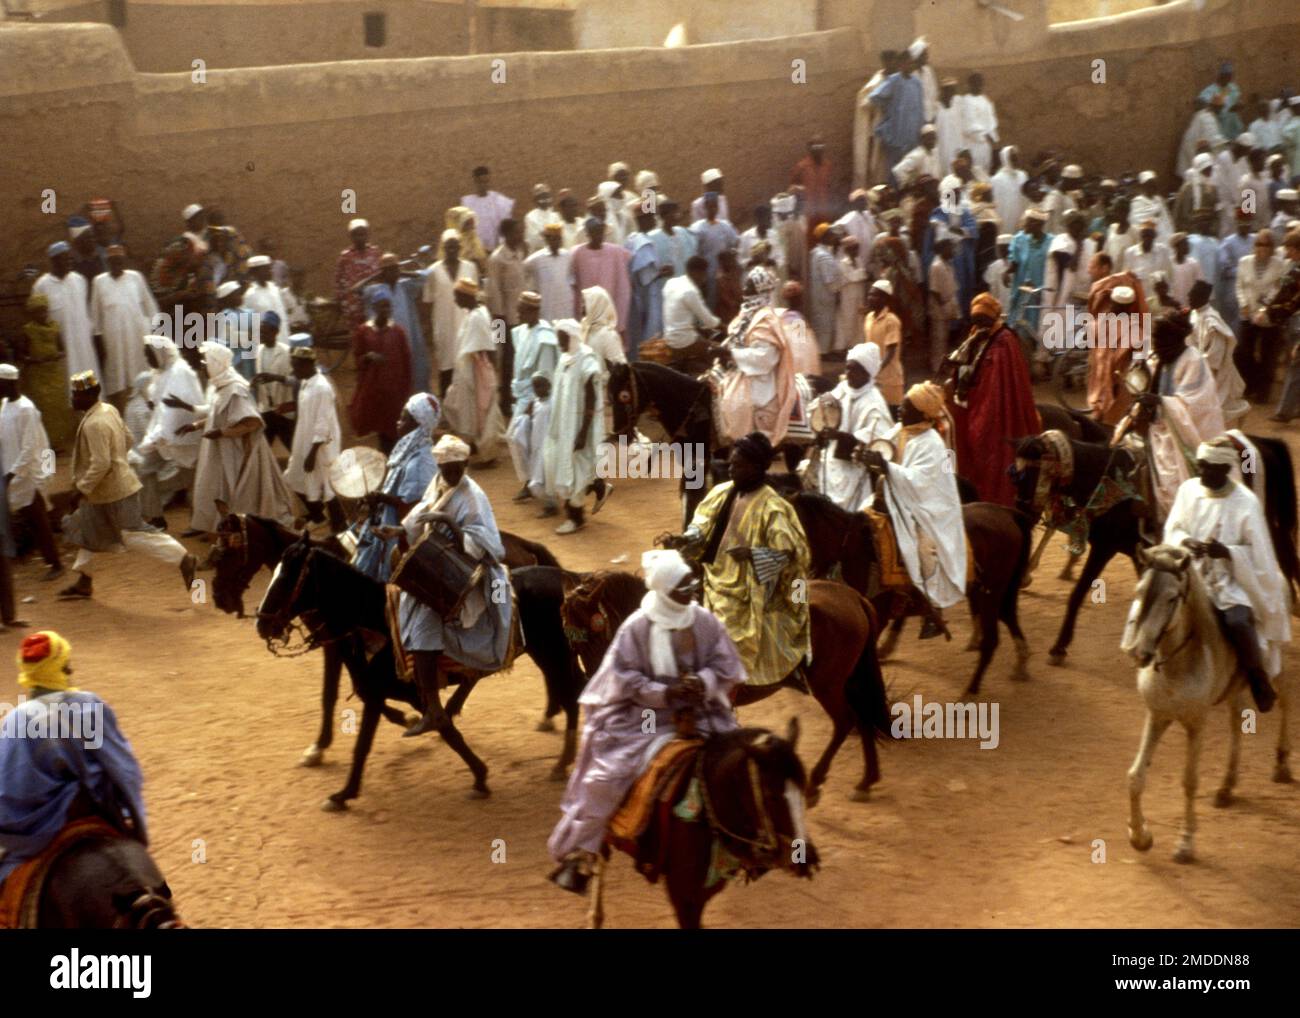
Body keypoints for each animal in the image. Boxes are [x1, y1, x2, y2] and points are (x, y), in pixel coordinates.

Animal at [564, 572, 899, 806]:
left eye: (595, 632)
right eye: (571, 640)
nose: (595, 678)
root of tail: (852, 597)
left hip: (828, 685)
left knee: (846, 721)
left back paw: (816, 783)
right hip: (848, 680)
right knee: (863, 719)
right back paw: (866, 781)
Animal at [785, 494, 1029, 702]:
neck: (855, 550)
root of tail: (1006, 513)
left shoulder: (877, 613)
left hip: (990, 592)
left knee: (992, 639)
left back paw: (971, 690)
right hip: (992, 592)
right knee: (1008, 617)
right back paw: (1020, 662)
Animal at [1013, 429, 1300, 670]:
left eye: (1031, 476)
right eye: (1015, 475)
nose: (1021, 514)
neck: (1108, 480)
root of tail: (1262, 442)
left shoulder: (1105, 548)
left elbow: (1078, 593)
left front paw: (1058, 647)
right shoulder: (1139, 551)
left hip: (1265, 524)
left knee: (1282, 557)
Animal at [1118, 546, 1289, 863]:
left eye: (1171, 597)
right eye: (1139, 591)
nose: (1138, 653)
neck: (1176, 663)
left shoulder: (1196, 723)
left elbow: (1190, 781)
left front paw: (1185, 843)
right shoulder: (1157, 716)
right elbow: (1136, 776)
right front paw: (1140, 836)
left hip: (1276, 665)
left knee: (1286, 700)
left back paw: (1282, 764)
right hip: (1235, 688)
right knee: (1236, 721)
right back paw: (1226, 787)